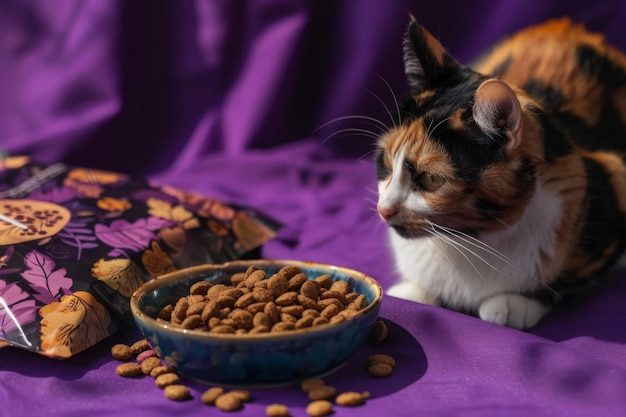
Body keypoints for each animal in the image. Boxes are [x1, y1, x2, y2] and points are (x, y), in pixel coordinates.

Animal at [376, 17, 624, 328]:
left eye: (431, 179)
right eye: (386, 163)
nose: (383, 210)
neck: (465, 240)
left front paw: (511, 304)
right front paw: (412, 291)